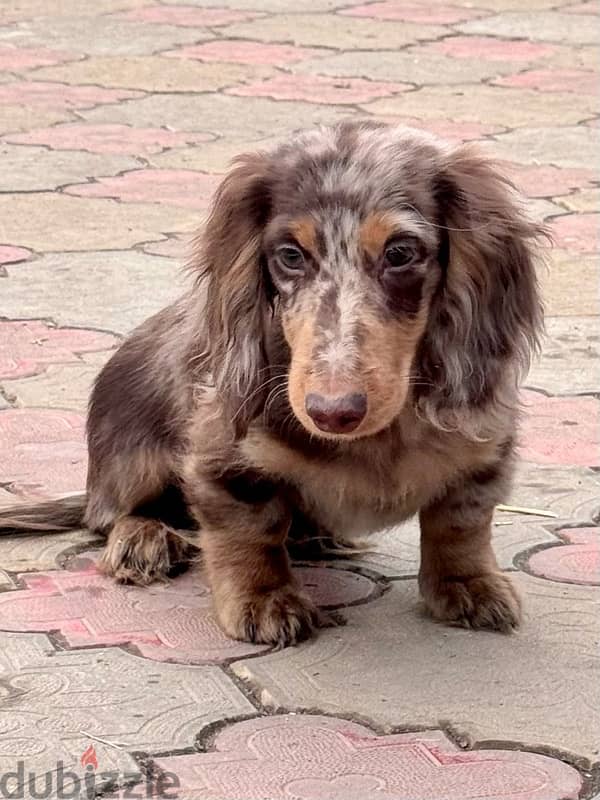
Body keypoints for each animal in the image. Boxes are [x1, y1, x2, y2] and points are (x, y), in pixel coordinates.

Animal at [0, 122, 544, 648]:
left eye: (400, 252)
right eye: (290, 255)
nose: (333, 411)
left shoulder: (485, 447)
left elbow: (461, 521)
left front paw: (468, 584)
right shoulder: (226, 454)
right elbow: (250, 530)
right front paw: (264, 600)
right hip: (133, 457)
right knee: (113, 514)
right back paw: (143, 539)